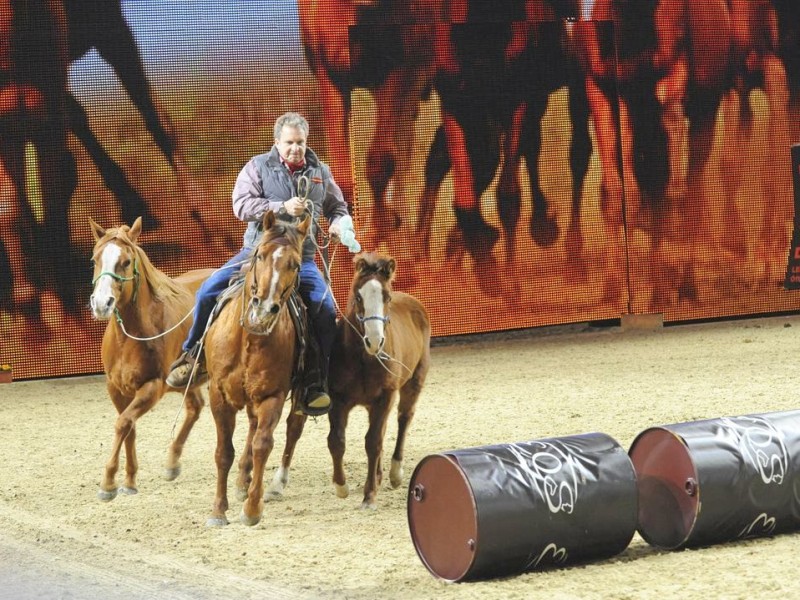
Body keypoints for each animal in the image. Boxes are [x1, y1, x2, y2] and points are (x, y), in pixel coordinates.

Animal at [89, 216, 212, 502]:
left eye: (126, 262)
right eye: (95, 259)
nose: (101, 303)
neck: (130, 337)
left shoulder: (152, 387)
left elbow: (123, 423)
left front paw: (108, 483)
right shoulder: (116, 389)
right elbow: (129, 428)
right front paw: (129, 480)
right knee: (195, 407)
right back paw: (172, 462)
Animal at [203, 210, 310, 524]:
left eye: (295, 264)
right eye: (260, 255)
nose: (264, 308)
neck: (250, 337)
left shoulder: (272, 395)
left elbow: (264, 444)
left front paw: (252, 509)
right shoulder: (218, 395)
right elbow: (223, 452)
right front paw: (218, 510)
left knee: (292, 430)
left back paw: (275, 485)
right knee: (250, 427)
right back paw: (242, 479)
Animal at [326, 251, 432, 508]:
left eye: (387, 296)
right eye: (358, 296)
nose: (375, 341)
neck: (364, 359)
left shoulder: (386, 396)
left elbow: (373, 442)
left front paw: (369, 494)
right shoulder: (338, 399)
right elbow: (337, 440)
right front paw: (341, 486)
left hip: (413, 383)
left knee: (404, 419)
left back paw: (394, 473)